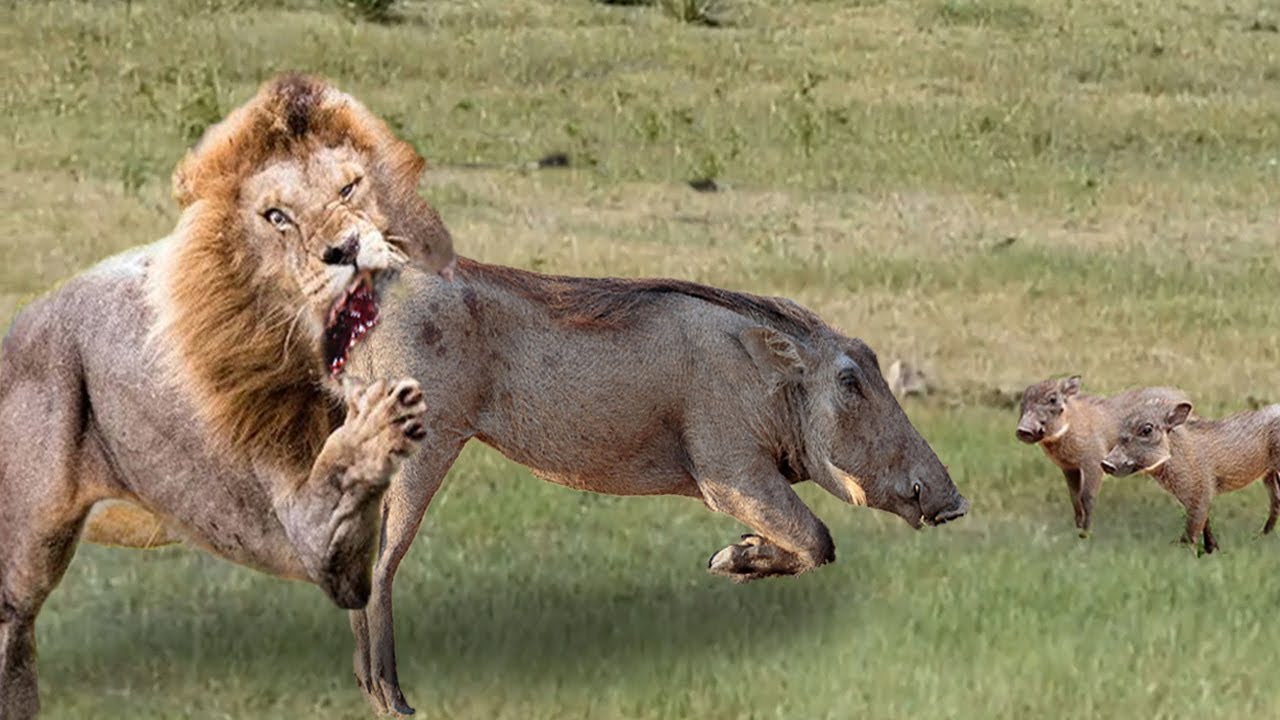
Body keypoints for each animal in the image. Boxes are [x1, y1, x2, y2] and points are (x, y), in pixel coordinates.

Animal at [0, 74, 456, 719]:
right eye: (277, 216)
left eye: (349, 187)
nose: (347, 249)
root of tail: (18, 325)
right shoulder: (314, 541)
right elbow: (342, 484)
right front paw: (377, 429)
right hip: (25, 555)